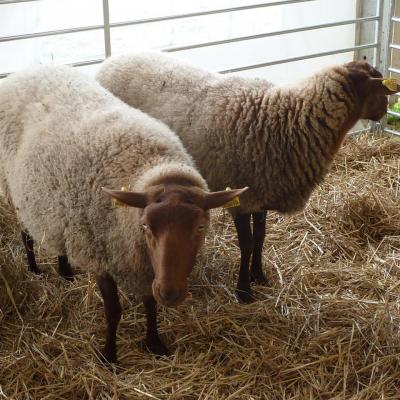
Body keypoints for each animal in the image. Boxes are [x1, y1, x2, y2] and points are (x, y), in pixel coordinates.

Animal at [0, 65, 247, 362]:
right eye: (146, 227)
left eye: (201, 227)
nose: (171, 294)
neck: (149, 167)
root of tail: (31, 69)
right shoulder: (101, 255)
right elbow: (113, 311)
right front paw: (109, 355)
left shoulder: (146, 265)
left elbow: (150, 303)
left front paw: (154, 343)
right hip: (14, 191)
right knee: (26, 233)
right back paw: (35, 268)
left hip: (54, 207)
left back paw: (66, 270)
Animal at [97, 53, 400, 304]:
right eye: (378, 85)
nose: (385, 110)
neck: (287, 120)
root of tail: (111, 60)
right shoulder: (240, 196)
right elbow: (246, 242)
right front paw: (244, 291)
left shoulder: (262, 192)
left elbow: (261, 237)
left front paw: (259, 275)